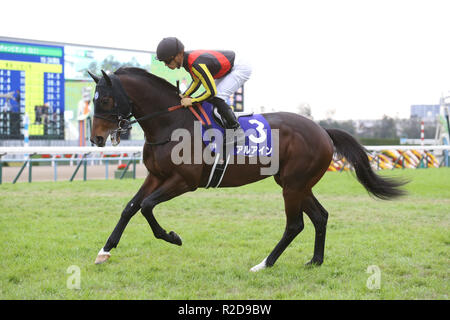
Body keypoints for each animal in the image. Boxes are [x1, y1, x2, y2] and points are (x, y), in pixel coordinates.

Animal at [88, 67, 408, 270]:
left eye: (106, 99)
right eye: (93, 100)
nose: (96, 138)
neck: (170, 124)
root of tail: (321, 130)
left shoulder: (184, 181)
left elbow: (147, 207)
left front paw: (173, 237)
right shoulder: (157, 176)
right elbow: (131, 207)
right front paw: (104, 251)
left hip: (293, 185)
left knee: (295, 224)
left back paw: (265, 263)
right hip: (295, 183)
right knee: (320, 216)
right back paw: (315, 261)